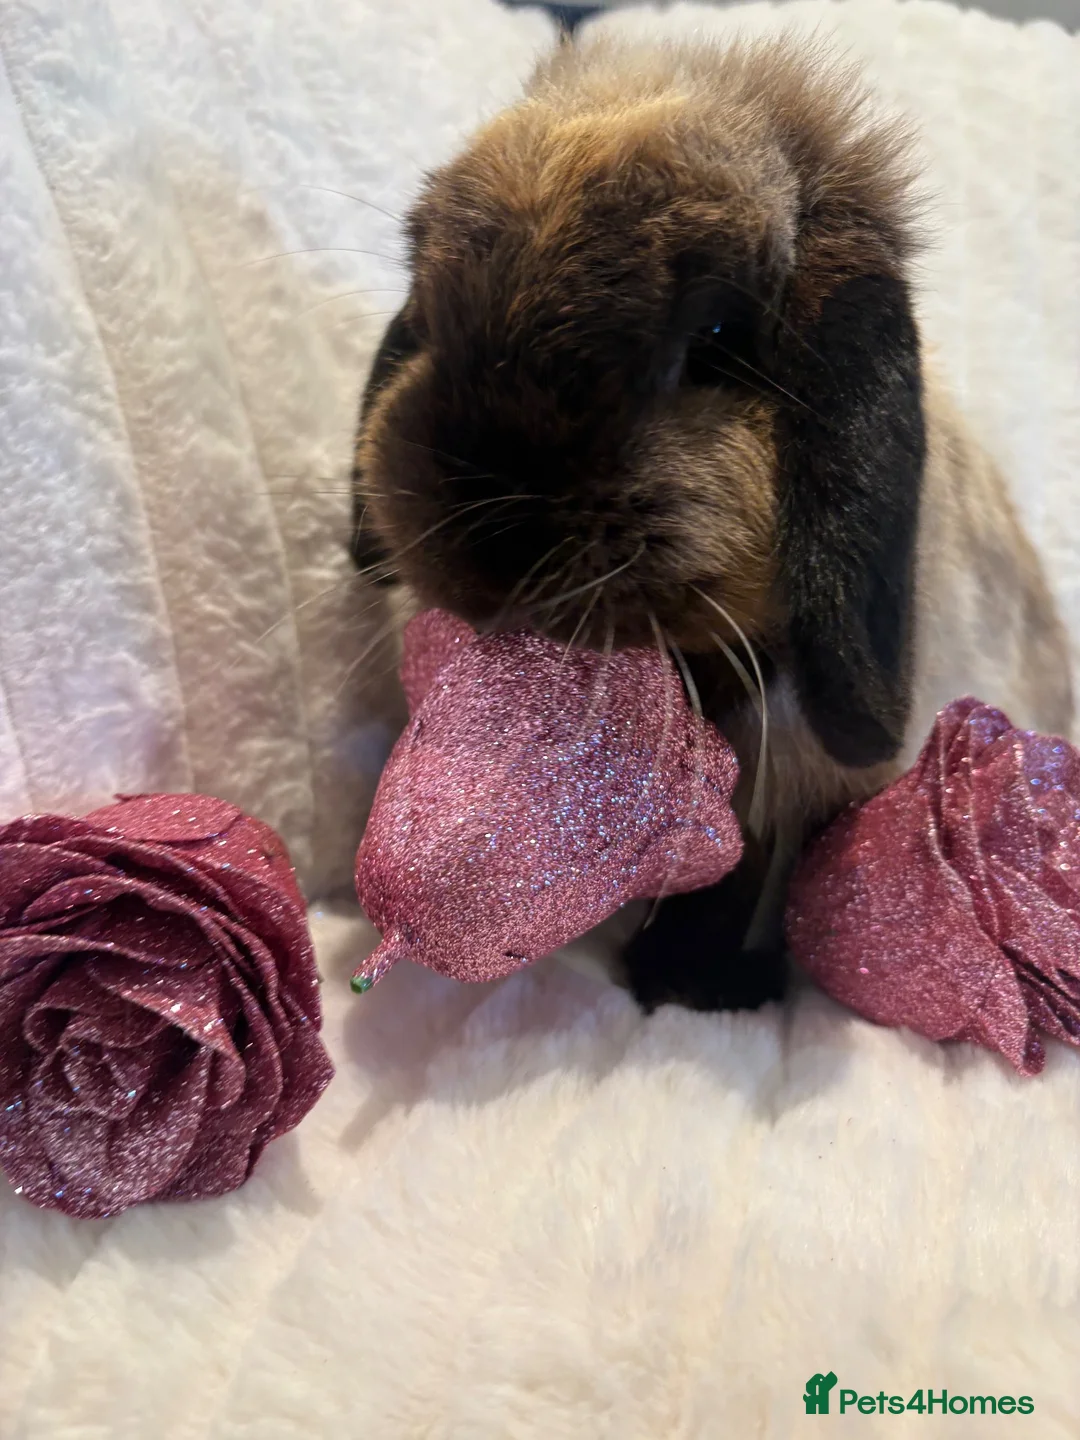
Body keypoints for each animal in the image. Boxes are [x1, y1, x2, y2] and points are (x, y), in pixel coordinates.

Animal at [350, 33, 1074, 1013]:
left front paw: (692, 987)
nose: (490, 544)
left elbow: (740, 880)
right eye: (426, 314)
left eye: (719, 338)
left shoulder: (792, 777)